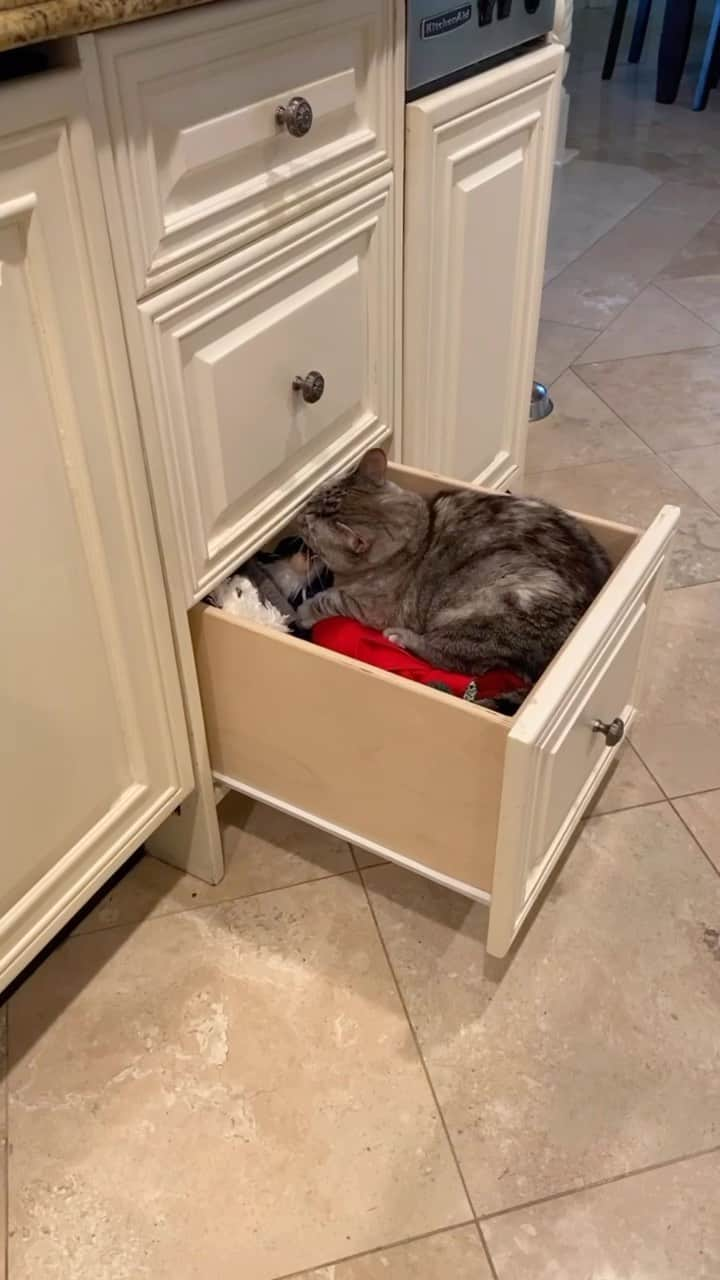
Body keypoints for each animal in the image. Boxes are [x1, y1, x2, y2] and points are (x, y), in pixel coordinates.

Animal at [294, 453, 607, 691]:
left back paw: (401, 638)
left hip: (488, 607)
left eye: (308, 524)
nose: (297, 515)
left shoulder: (368, 609)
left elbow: (329, 599)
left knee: (458, 660)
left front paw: (304, 612)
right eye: (310, 500)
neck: (417, 532)